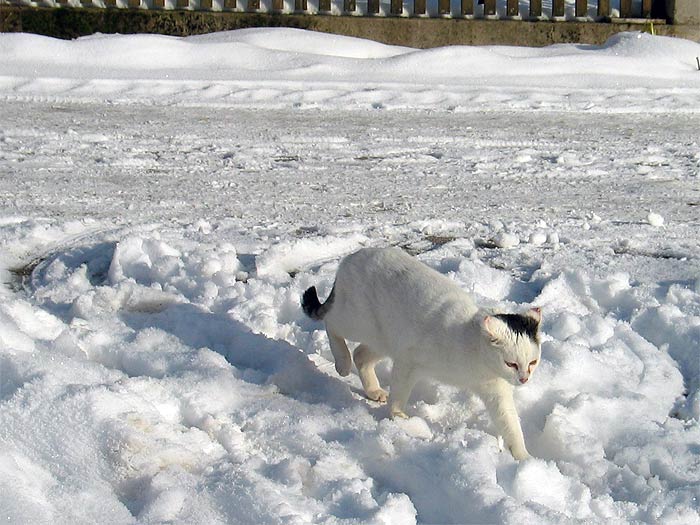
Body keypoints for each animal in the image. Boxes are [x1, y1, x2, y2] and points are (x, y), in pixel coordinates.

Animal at [302, 247, 540, 458]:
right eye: (511, 363)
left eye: (532, 362)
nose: (524, 379)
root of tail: (351, 257)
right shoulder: (407, 361)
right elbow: (399, 395)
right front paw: (399, 418)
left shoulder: (496, 389)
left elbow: (510, 424)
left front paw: (524, 458)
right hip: (357, 321)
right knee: (332, 323)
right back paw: (342, 363)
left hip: (383, 339)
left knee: (360, 355)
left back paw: (374, 390)